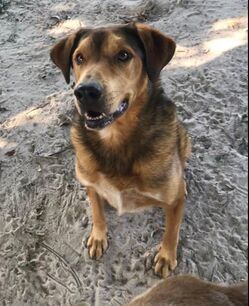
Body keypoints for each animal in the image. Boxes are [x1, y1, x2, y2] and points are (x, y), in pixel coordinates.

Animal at [50, 22, 191, 278]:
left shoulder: (173, 202)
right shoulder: (90, 183)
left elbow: (172, 230)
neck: (116, 140)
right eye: (79, 58)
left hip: (183, 139)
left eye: (124, 55)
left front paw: (166, 256)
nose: (85, 92)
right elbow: (96, 210)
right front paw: (98, 236)